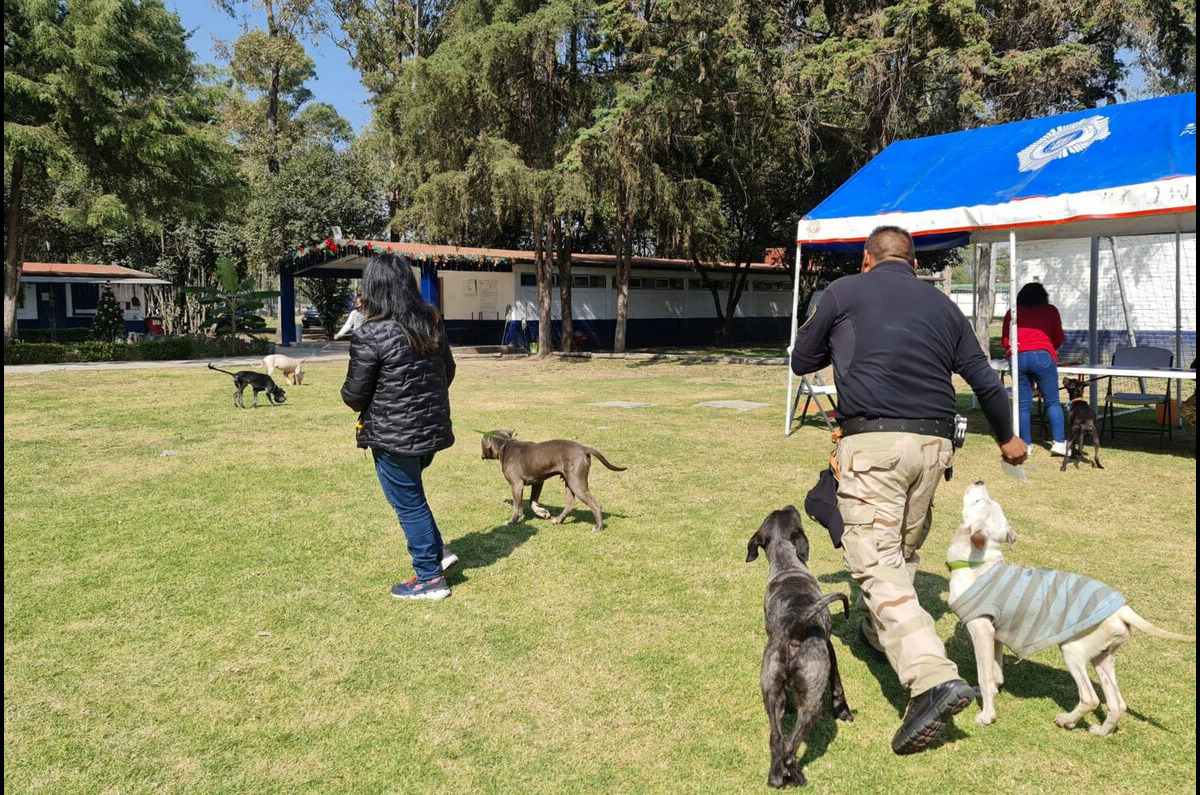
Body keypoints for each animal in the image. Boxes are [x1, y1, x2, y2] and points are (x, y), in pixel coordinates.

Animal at [480, 429, 628, 535]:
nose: (481, 455)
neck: (505, 445)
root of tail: (584, 448)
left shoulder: (516, 485)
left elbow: (517, 506)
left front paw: (512, 521)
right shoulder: (538, 481)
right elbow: (531, 502)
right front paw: (541, 513)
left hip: (576, 483)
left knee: (595, 505)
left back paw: (598, 528)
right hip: (569, 482)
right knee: (570, 503)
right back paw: (558, 520)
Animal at [739, 506, 854, 787]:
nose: (792, 505)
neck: (787, 566)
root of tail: (795, 627)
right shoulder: (829, 647)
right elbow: (838, 682)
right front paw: (843, 711)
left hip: (771, 691)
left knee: (777, 740)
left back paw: (776, 777)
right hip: (812, 699)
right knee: (791, 748)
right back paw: (797, 776)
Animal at [945, 480, 1190, 734]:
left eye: (979, 501)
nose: (980, 481)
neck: (977, 562)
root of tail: (1122, 609)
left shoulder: (981, 629)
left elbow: (985, 676)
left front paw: (987, 716)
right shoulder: (996, 634)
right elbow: (995, 672)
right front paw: (994, 691)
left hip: (1073, 650)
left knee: (1091, 698)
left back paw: (1066, 720)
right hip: (1102, 658)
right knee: (1117, 705)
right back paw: (1100, 731)